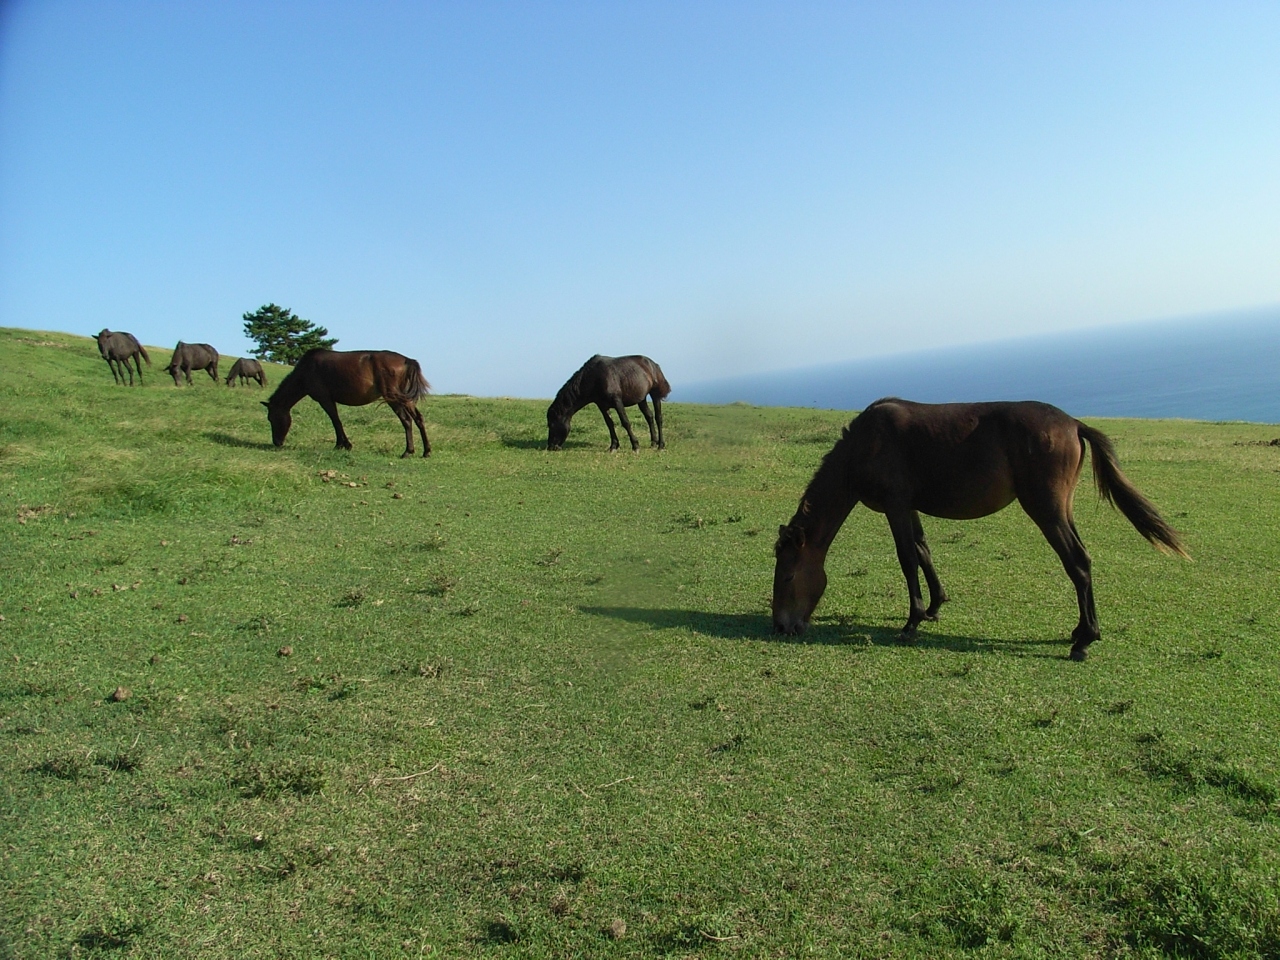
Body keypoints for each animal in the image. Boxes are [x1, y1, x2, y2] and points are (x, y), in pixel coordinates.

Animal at [262, 350, 432, 460]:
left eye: (272, 418)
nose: (277, 442)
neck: (306, 370)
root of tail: (407, 360)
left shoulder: (325, 399)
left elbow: (335, 421)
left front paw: (342, 444)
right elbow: (336, 420)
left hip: (394, 398)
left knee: (406, 420)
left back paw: (408, 451)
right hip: (405, 398)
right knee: (418, 419)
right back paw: (426, 451)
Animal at [547, 355, 675, 453]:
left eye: (551, 425)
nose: (551, 447)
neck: (595, 377)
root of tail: (653, 364)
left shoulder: (617, 401)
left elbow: (625, 422)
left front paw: (635, 445)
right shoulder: (602, 405)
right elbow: (610, 424)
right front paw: (613, 446)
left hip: (655, 394)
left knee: (658, 418)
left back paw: (661, 445)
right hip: (641, 399)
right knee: (649, 417)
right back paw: (653, 442)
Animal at [768, 399, 1187, 660]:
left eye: (787, 576)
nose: (781, 627)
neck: (865, 444)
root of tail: (1073, 424)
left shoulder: (896, 505)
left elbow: (907, 558)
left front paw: (912, 621)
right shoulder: (910, 506)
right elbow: (923, 551)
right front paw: (934, 606)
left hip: (1046, 510)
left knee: (1078, 563)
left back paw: (1084, 641)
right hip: (1061, 509)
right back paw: (1079, 631)